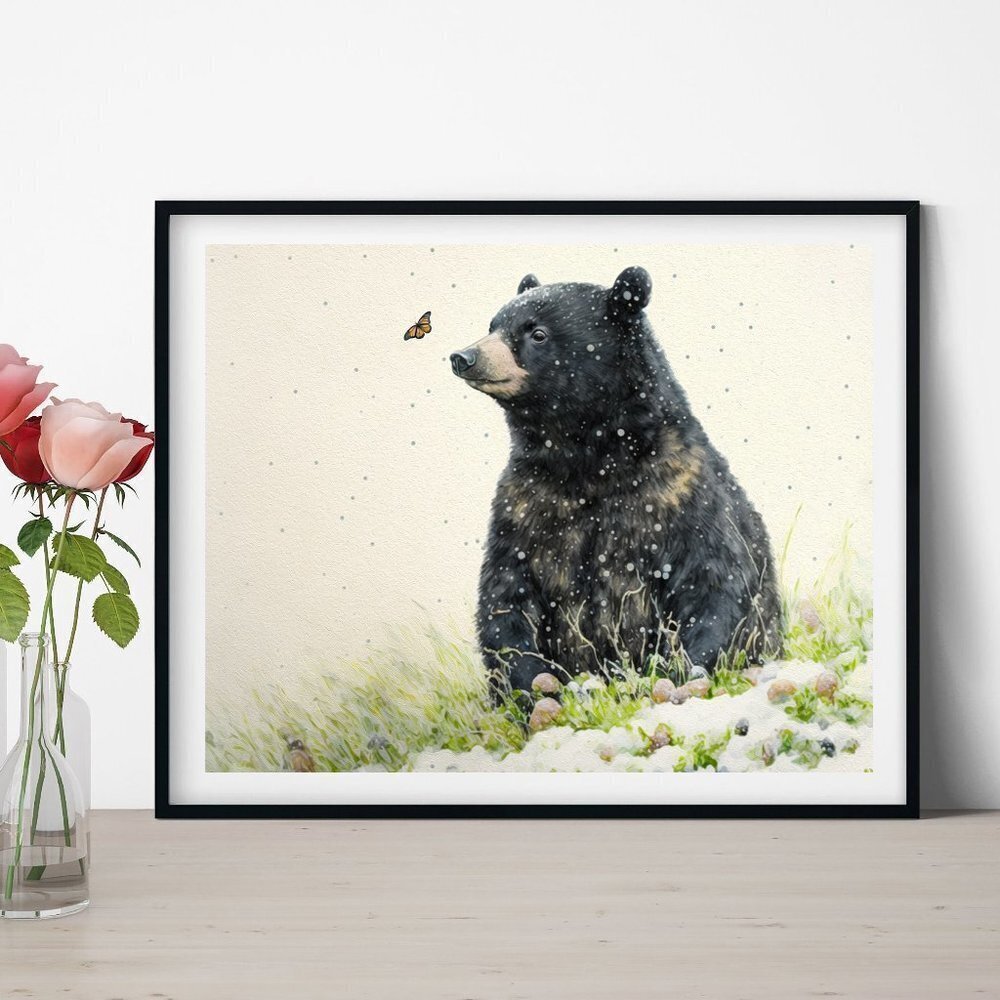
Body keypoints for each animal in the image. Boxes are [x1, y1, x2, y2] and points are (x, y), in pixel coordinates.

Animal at [449, 267, 782, 697]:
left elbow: (715, 580)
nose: (464, 357)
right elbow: (506, 593)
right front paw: (532, 686)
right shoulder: (526, 505)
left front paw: (682, 670)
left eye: (536, 333)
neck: (589, 460)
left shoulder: (681, 494)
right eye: (493, 324)